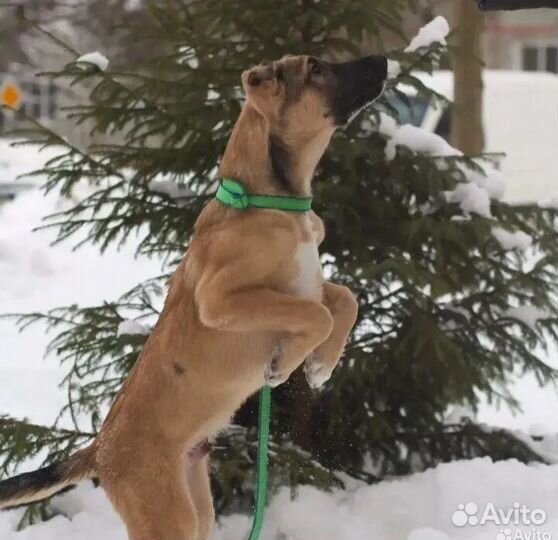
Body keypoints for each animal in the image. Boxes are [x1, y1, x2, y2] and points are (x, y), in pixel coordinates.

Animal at [0, 53, 390, 540]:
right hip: (169, 515)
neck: (269, 201)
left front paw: (320, 365)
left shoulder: (306, 282)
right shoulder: (220, 299)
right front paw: (286, 365)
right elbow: (317, 313)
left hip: (196, 503)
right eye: (315, 68)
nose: (384, 61)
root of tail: (100, 451)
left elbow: (343, 299)